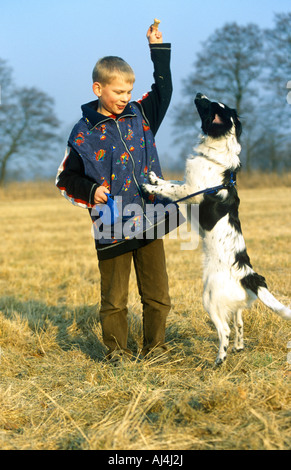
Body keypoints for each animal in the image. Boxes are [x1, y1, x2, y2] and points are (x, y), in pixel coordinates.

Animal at [144, 91, 291, 364]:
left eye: (209, 105)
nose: (199, 93)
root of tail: (249, 275)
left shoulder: (190, 190)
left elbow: (170, 188)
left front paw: (150, 187)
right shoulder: (188, 183)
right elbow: (171, 180)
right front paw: (154, 178)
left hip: (209, 297)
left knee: (224, 330)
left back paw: (219, 359)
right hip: (231, 304)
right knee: (239, 324)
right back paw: (238, 348)